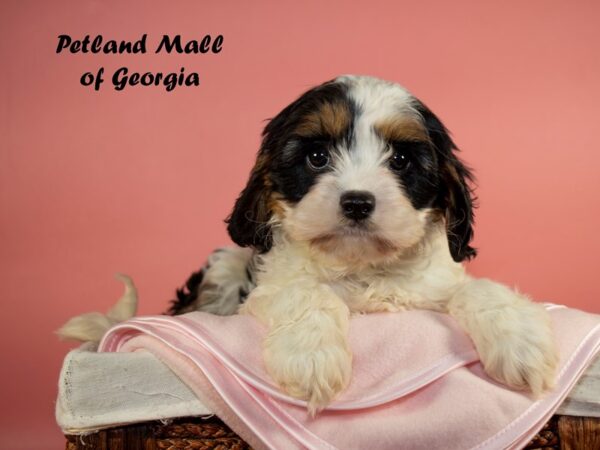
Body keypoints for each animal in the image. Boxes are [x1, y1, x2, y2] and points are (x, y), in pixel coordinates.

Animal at [171, 74, 560, 414]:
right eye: (317, 157)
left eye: (400, 160)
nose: (357, 203)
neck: (362, 265)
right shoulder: (268, 289)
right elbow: (305, 291)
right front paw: (311, 357)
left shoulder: (432, 288)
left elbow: (476, 288)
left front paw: (522, 341)